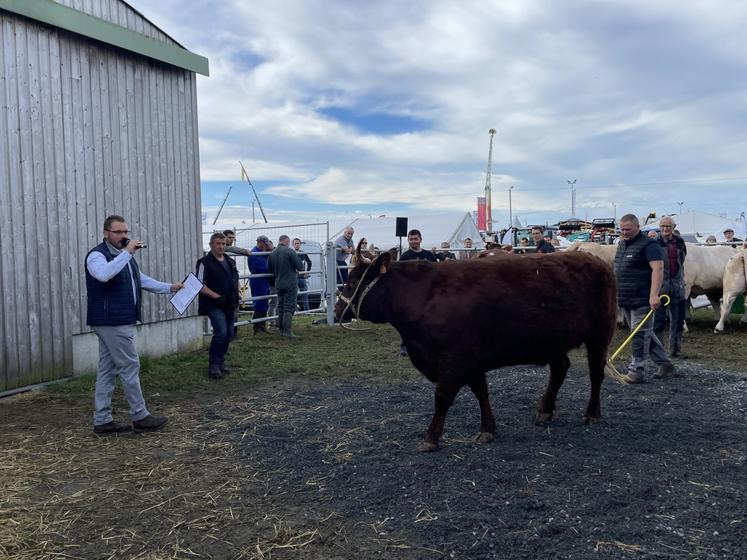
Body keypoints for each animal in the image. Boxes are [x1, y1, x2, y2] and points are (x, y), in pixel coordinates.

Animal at [336, 244, 616, 450]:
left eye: (351, 282)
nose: (338, 310)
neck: (425, 296)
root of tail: (595, 260)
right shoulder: (471, 359)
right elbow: (481, 392)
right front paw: (487, 429)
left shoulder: (455, 358)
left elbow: (442, 397)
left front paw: (431, 437)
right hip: (553, 341)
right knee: (559, 369)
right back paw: (544, 412)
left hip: (599, 334)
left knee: (595, 373)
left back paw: (592, 413)